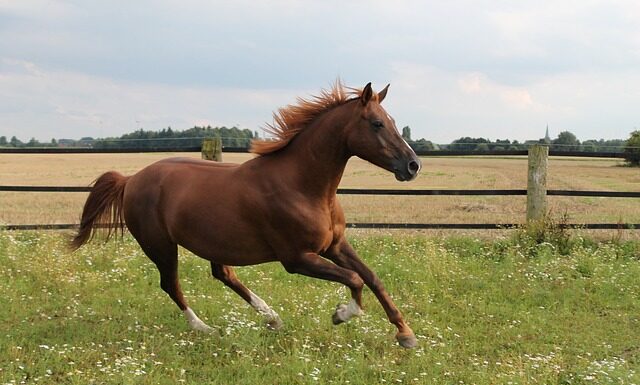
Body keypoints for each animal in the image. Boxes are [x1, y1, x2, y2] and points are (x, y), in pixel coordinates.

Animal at [71, 82, 420, 348]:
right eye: (376, 123)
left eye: (391, 120)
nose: (413, 165)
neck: (302, 186)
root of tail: (131, 179)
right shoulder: (297, 258)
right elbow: (355, 278)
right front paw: (341, 314)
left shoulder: (334, 245)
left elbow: (372, 277)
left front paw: (406, 334)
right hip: (160, 246)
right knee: (171, 284)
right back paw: (205, 328)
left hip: (212, 242)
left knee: (223, 275)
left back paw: (272, 317)